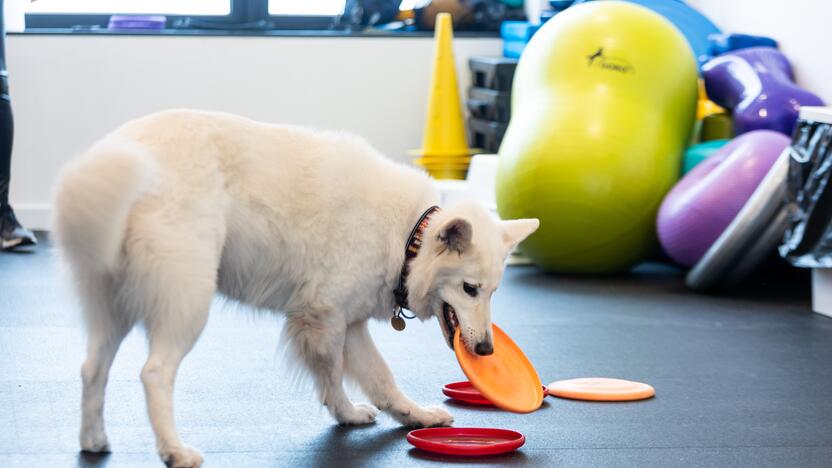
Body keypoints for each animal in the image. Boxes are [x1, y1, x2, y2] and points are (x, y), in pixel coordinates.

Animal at [52, 109, 540, 464]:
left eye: (493, 292)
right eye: (470, 289)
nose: (486, 352)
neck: (408, 237)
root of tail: (123, 154)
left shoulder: (349, 323)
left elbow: (379, 379)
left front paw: (407, 415)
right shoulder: (323, 318)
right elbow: (336, 374)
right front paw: (347, 413)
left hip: (112, 310)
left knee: (91, 370)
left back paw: (93, 440)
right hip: (187, 304)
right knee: (154, 373)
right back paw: (174, 450)